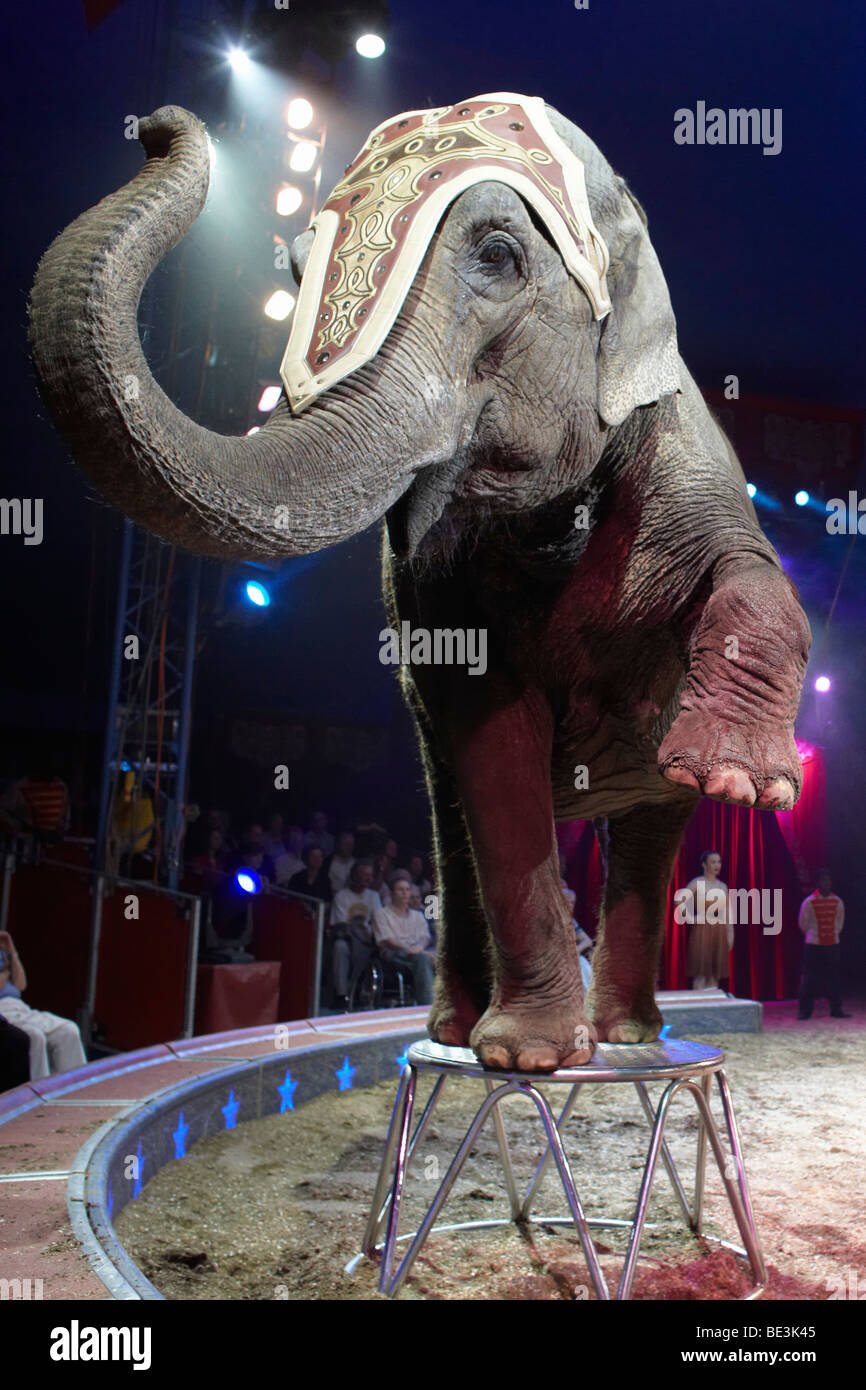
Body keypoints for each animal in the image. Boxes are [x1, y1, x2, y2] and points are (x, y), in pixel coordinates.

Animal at [28, 95, 811, 1073]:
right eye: (296, 272)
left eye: (499, 256)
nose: (155, 126)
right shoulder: (432, 578)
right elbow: (487, 733)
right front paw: (526, 1059)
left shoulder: (681, 448)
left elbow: (754, 573)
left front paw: (746, 783)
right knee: (453, 828)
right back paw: (459, 1032)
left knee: (648, 827)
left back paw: (630, 1032)